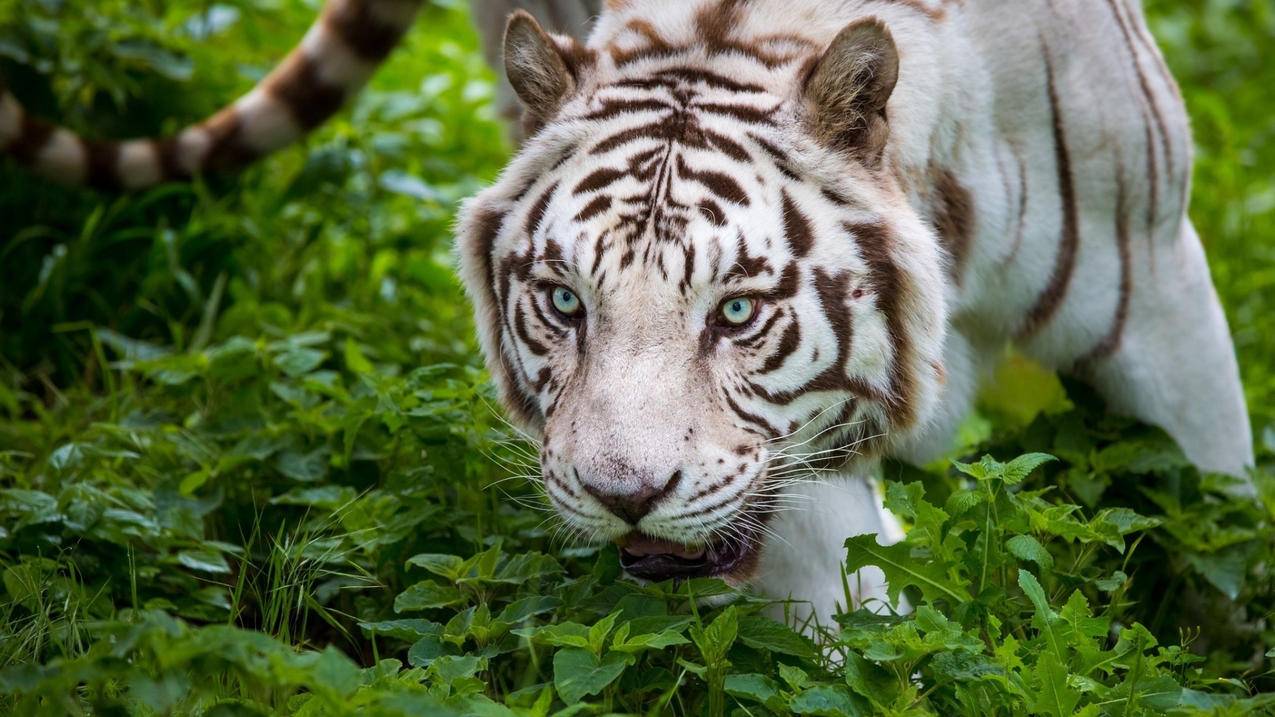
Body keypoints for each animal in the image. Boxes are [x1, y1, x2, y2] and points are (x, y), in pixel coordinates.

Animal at [2, 0, 1254, 627]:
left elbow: (1220, 535)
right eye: (563, 300)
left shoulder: (1162, 291)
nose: (622, 497)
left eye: (738, 311)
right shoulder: (780, 479)